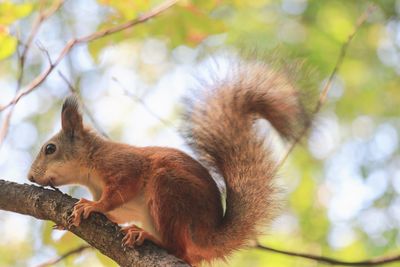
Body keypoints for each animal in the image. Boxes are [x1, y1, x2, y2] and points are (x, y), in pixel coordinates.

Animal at [28, 60, 310, 266]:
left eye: (50, 149)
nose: (30, 177)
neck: (90, 168)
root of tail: (206, 235)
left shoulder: (123, 165)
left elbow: (121, 190)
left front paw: (92, 205)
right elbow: (119, 211)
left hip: (169, 190)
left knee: (178, 248)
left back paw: (147, 236)